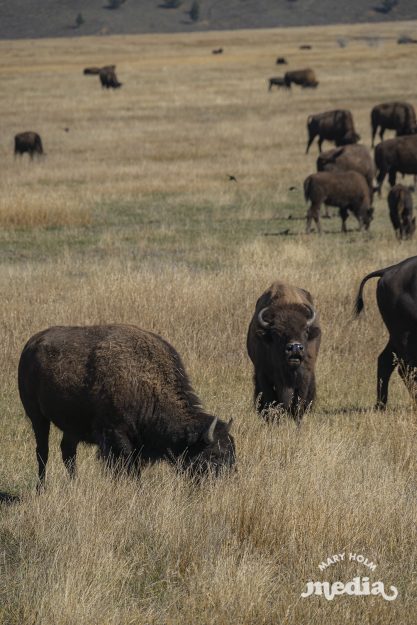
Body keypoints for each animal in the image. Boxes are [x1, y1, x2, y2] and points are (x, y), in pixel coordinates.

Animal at [18, 324, 234, 486]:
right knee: (43, 451)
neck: (146, 383)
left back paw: (74, 484)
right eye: (214, 455)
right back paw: (41, 488)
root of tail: (30, 344)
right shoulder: (116, 435)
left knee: (68, 452)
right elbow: (129, 467)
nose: (227, 483)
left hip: (72, 426)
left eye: (232, 453)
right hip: (37, 417)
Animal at [245, 280, 320, 422]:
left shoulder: (305, 375)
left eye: (305, 330)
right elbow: (270, 400)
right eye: (276, 333)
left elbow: (298, 403)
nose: (295, 347)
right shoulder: (264, 374)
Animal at [354, 255, 417, 408]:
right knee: (405, 369)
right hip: (404, 334)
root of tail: (388, 271)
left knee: (385, 361)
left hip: (395, 336)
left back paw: (380, 405)